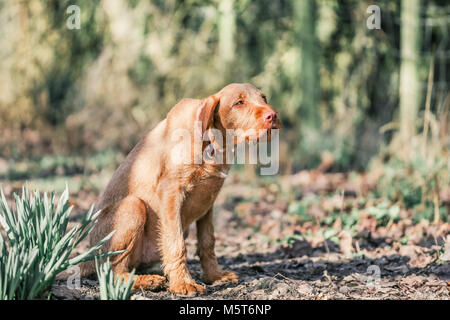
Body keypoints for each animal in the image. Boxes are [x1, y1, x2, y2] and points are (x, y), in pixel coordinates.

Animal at [79, 82, 280, 296]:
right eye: (239, 103)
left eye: (264, 98)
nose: (273, 115)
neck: (212, 143)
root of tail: (86, 260)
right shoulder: (171, 193)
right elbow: (176, 243)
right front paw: (183, 283)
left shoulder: (208, 201)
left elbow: (208, 242)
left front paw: (214, 276)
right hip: (133, 206)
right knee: (112, 273)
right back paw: (146, 281)